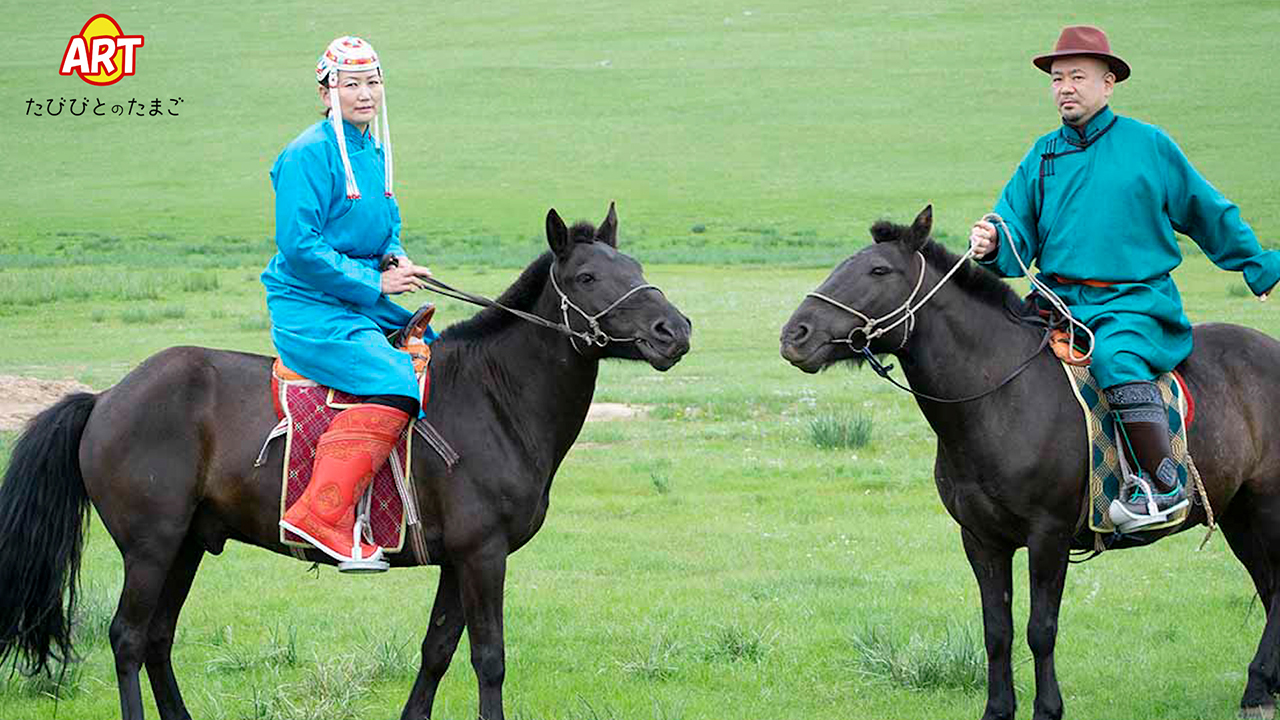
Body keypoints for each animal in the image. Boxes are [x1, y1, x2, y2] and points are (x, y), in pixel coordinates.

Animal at [0, 204, 692, 720]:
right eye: (587, 279)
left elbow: (437, 651)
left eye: (634, 266)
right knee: (126, 638)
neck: (495, 396)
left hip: (187, 544)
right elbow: (488, 658)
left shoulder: (458, 559)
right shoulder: (484, 555)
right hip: (151, 546)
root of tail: (105, 397)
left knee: (157, 639)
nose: (674, 331)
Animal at [779, 205, 1280, 720]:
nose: (795, 335)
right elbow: (996, 631)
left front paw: (1048, 708)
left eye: (878, 271)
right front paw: (998, 709)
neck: (998, 396)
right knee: (1269, 586)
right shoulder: (981, 540)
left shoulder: (1048, 536)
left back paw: (1256, 687)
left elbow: (1041, 629)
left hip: (1267, 506)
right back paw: (1265, 685)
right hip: (1239, 514)